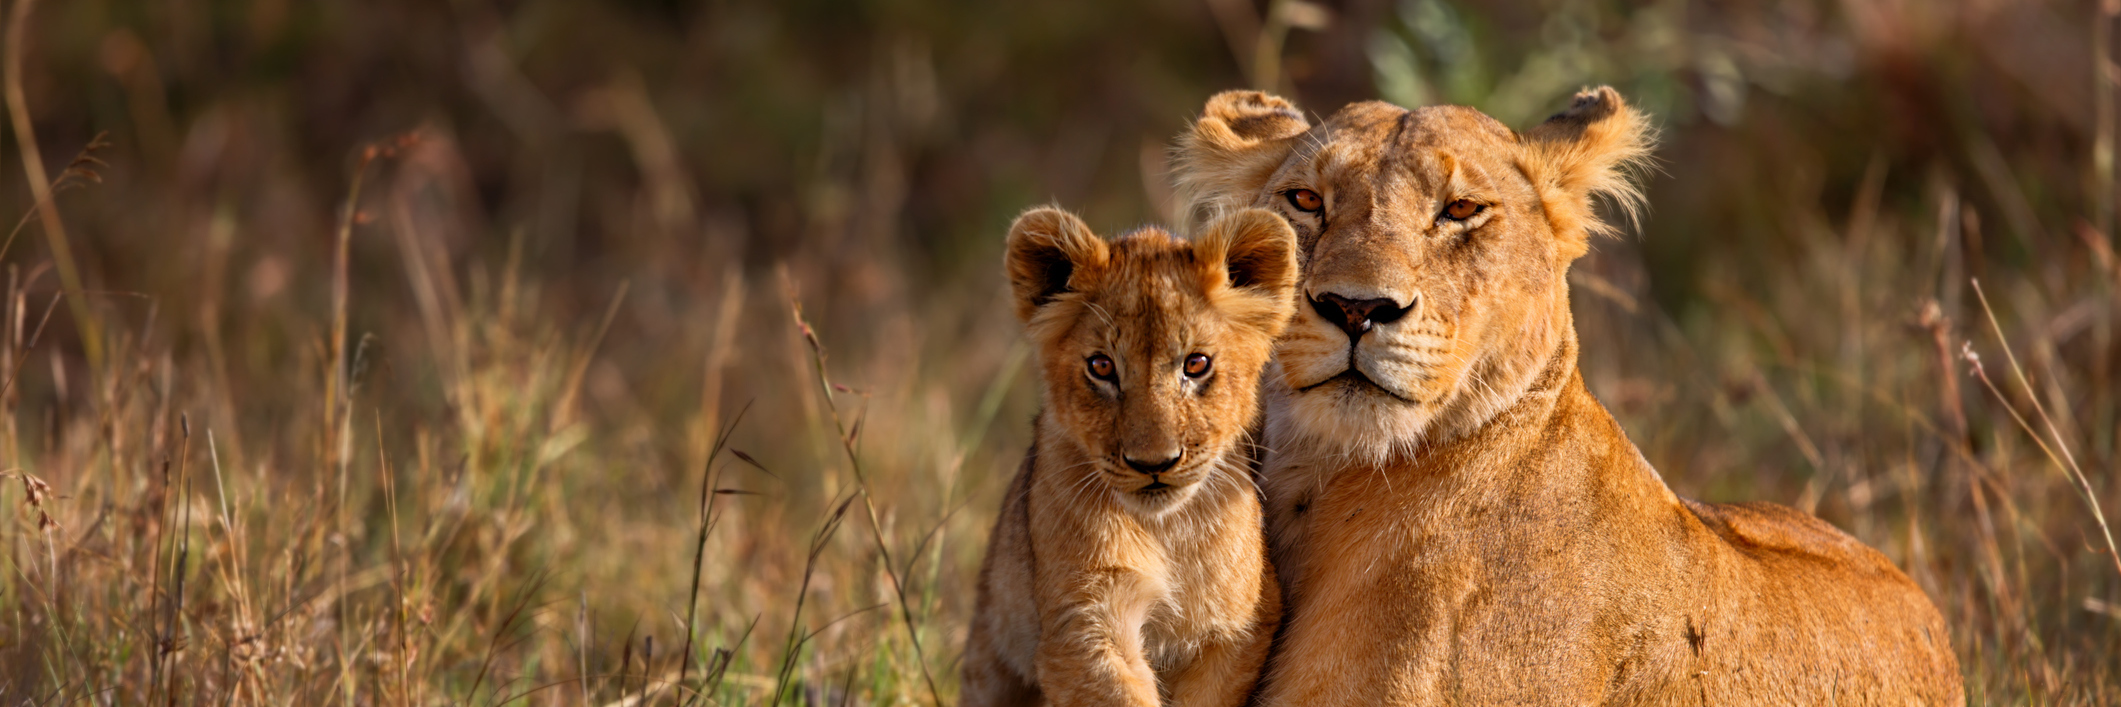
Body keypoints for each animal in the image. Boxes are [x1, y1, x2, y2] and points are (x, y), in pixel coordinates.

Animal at [959, 206, 1296, 707]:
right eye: (1101, 367)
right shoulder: (1083, 622)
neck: (1166, 532)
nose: (1153, 464)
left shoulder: (1238, 626)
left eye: (1196, 364)